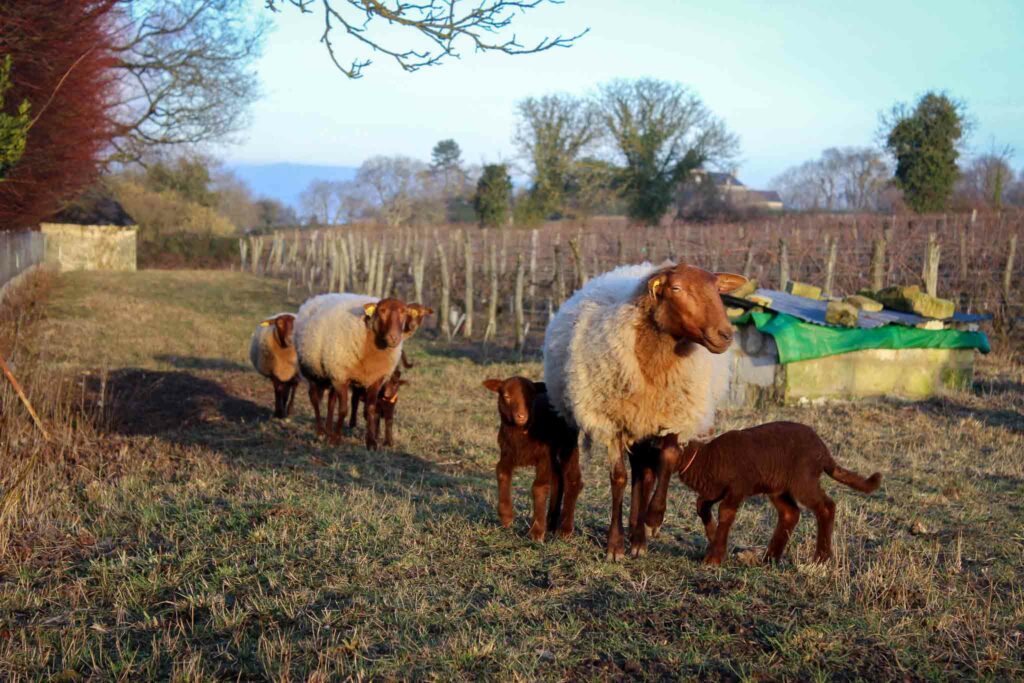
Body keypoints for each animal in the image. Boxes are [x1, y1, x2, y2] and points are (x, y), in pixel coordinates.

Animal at [294, 292, 425, 448]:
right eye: (382, 311)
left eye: (404, 312)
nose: (394, 337)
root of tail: (315, 298)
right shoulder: (341, 376)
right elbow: (343, 410)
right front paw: (335, 440)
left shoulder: (375, 379)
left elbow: (371, 409)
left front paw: (371, 442)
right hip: (311, 370)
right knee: (314, 399)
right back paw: (320, 433)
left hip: (332, 374)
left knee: (331, 402)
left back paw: (328, 431)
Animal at [481, 376, 581, 540]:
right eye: (506, 396)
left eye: (531, 396)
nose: (521, 416)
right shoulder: (507, 453)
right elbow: (501, 472)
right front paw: (506, 517)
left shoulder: (544, 457)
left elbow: (539, 487)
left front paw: (536, 532)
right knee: (558, 479)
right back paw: (551, 523)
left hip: (568, 442)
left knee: (572, 479)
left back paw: (565, 529)